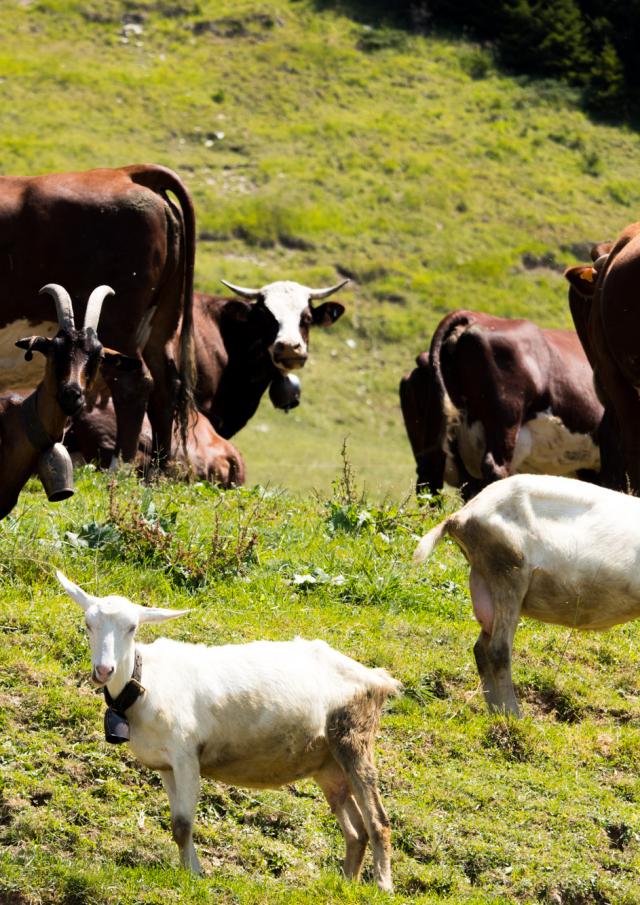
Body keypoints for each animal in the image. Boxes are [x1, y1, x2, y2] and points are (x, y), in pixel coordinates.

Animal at [0, 163, 195, 470]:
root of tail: (125, 173)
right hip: (161, 323)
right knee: (165, 388)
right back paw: (158, 470)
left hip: (119, 326)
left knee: (133, 384)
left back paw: (119, 466)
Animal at [57, 568, 402, 888]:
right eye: (88, 624)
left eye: (133, 627)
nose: (104, 670)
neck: (146, 682)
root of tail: (377, 678)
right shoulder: (166, 765)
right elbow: (176, 824)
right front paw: (189, 869)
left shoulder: (186, 755)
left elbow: (183, 824)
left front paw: (194, 875)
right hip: (327, 763)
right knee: (356, 831)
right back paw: (347, 882)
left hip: (354, 737)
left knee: (378, 822)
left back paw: (382, 886)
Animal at [412, 476, 640, 716]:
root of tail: (461, 515)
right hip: (508, 572)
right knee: (498, 650)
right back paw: (513, 715)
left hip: (487, 581)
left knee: (481, 648)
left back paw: (497, 712)